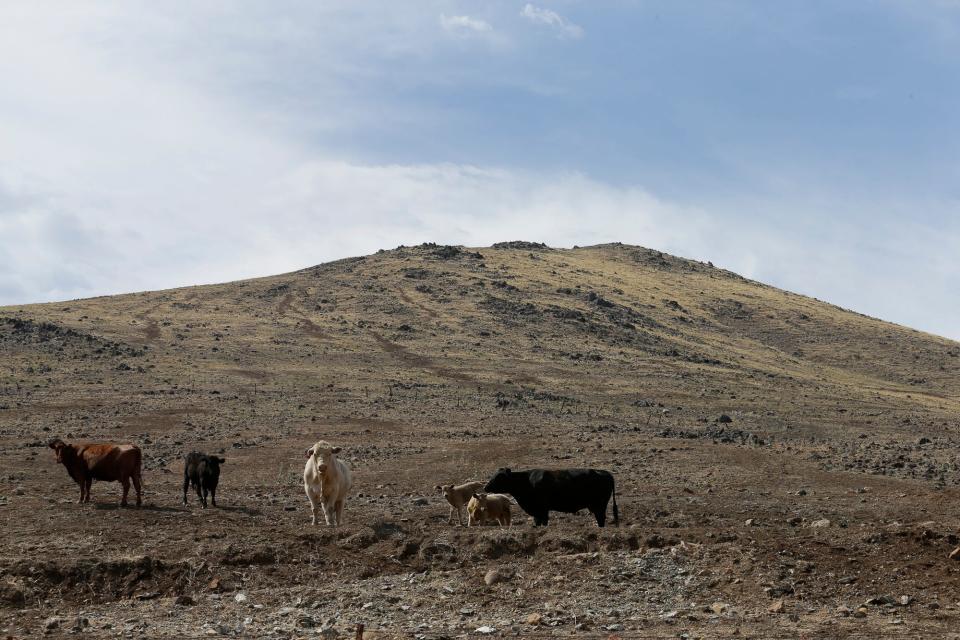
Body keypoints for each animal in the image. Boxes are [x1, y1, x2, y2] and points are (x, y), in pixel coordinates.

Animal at [484, 468, 620, 528]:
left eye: (499, 477)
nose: (485, 487)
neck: (527, 481)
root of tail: (606, 472)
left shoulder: (542, 509)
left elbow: (543, 521)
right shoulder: (537, 511)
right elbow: (537, 522)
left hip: (599, 506)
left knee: (601, 518)